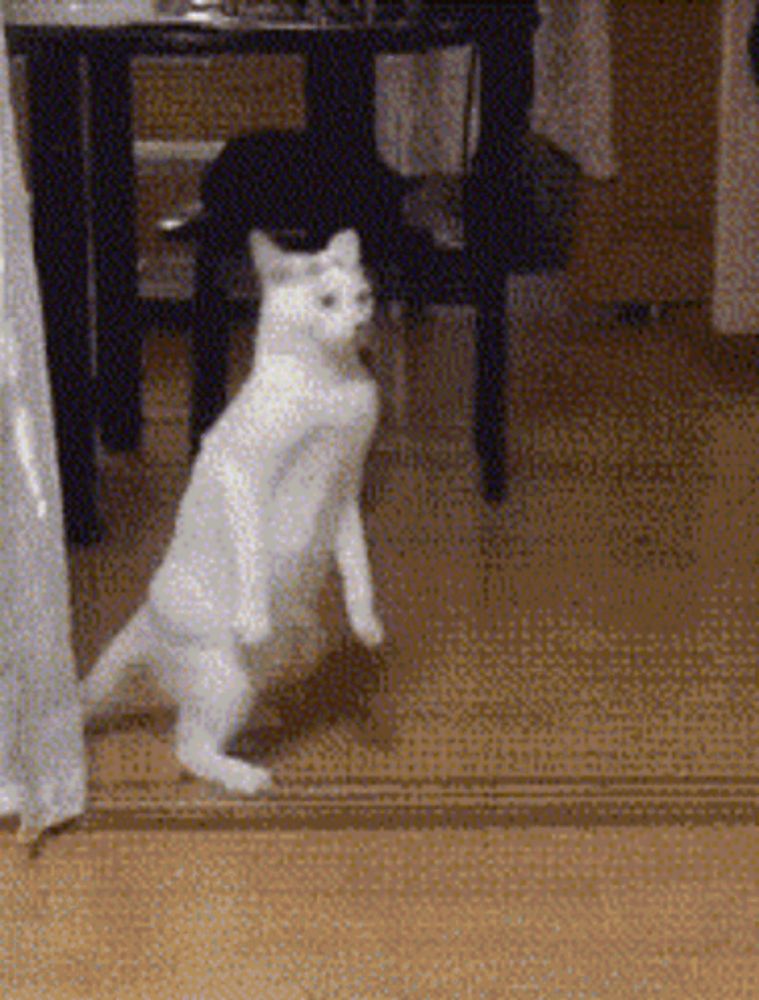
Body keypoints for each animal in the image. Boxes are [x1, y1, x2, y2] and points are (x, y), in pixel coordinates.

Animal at [81, 229, 386, 796]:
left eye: (363, 297)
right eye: (326, 301)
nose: (360, 323)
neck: (331, 385)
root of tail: (145, 616)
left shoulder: (346, 490)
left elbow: (357, 565)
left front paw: (366, 622)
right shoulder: (241, 473)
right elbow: (252, 551)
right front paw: (252, 616)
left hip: (252, 677)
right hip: (224, 679)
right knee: (189, 746)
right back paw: (245, 777)